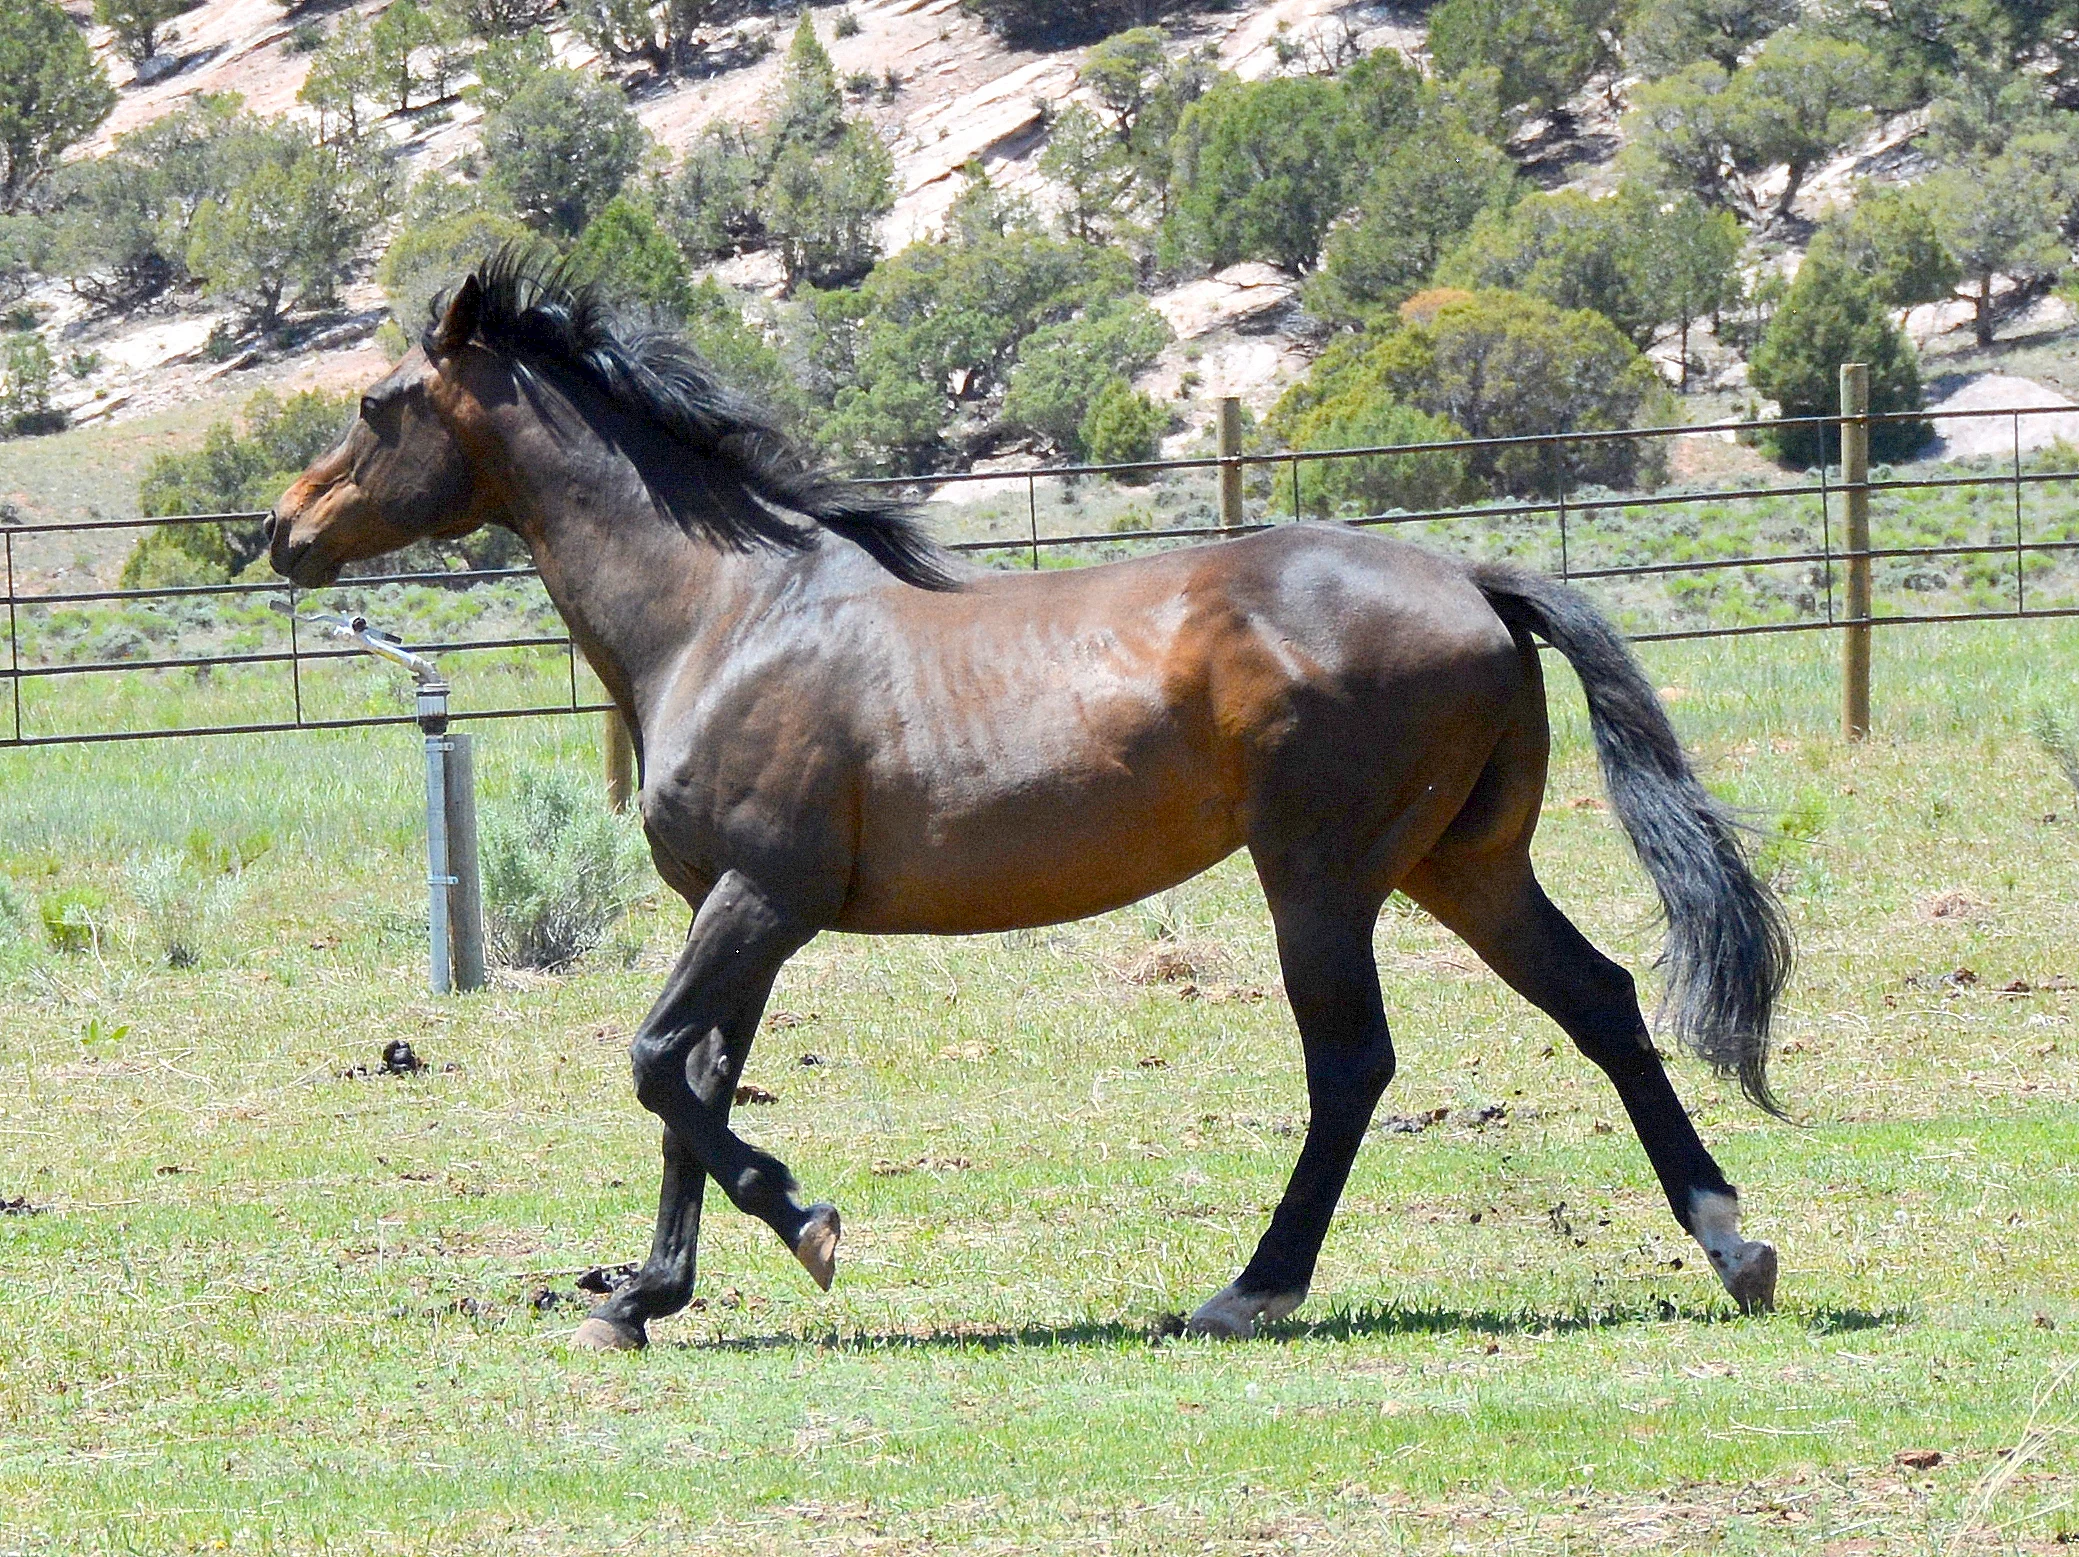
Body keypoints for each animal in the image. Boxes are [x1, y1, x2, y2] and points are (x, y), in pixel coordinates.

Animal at [268, 250, 1792, 1349]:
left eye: (376, 406)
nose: (282, 531)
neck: (727, 614)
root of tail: (1473, 580)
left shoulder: (762, 897)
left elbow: (654, 1065)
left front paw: (805, 1224)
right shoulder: (733, 912)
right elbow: (688, 1085)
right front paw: (643, 1299)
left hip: (1322, 876)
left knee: (1353, 1065)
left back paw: (1249, 1290)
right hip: (1462, 865)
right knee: (1600, 1001)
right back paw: (1734, 1244)